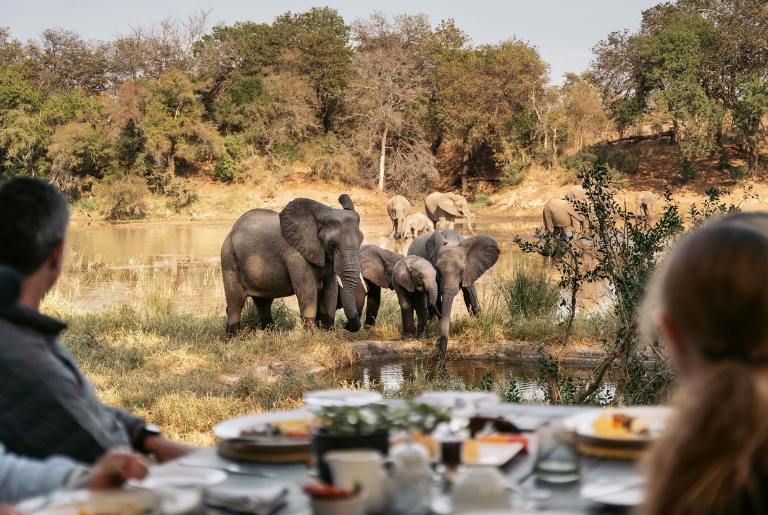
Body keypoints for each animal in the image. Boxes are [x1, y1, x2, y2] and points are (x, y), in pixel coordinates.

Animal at [220, 194, 364, 334]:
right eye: (332, 245)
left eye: (361, 241)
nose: (346, 326)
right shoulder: (295, 254)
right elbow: (308, 289)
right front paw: (310, 334)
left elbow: (330, 289)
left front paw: (329, 332)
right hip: (228, 259)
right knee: (235, 302)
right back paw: (234, 337)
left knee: (263, 302)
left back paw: (269, 333)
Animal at [404, 230, 500, 362]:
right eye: (437, 270)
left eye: (462, 271)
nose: (441, 362)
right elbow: (438, 297)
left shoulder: (471, 269)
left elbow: (470, 293)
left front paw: (479, 322)